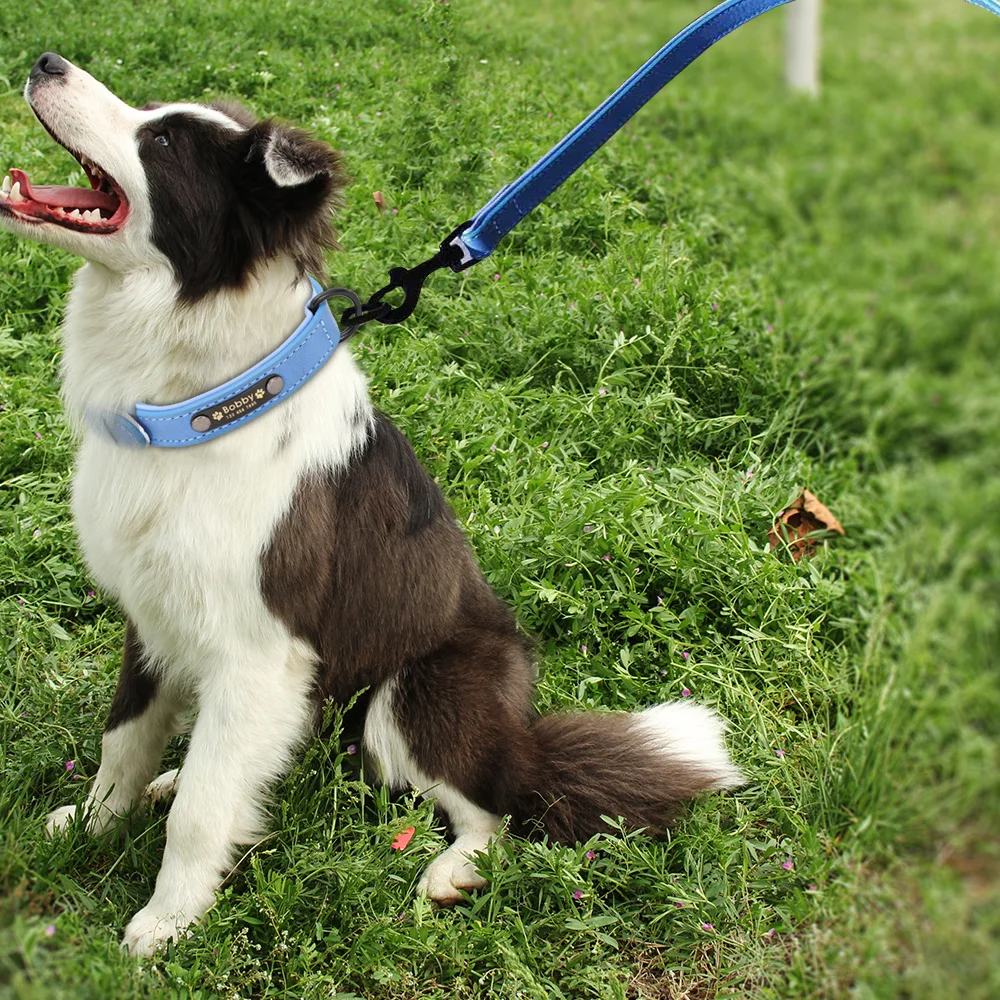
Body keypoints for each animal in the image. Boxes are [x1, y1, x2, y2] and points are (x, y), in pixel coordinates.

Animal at [0, 52, 744, 952]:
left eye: (165, 142)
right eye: (153, 113)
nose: (46, 62)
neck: (207, 400)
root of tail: (522, 734)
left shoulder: (261, 653)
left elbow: (205, 811)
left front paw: (166, 922)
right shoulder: (154, 618)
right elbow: (124, 741)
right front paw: (92, 824)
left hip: (415, 696)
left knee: (490, 807)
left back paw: (451, 872)